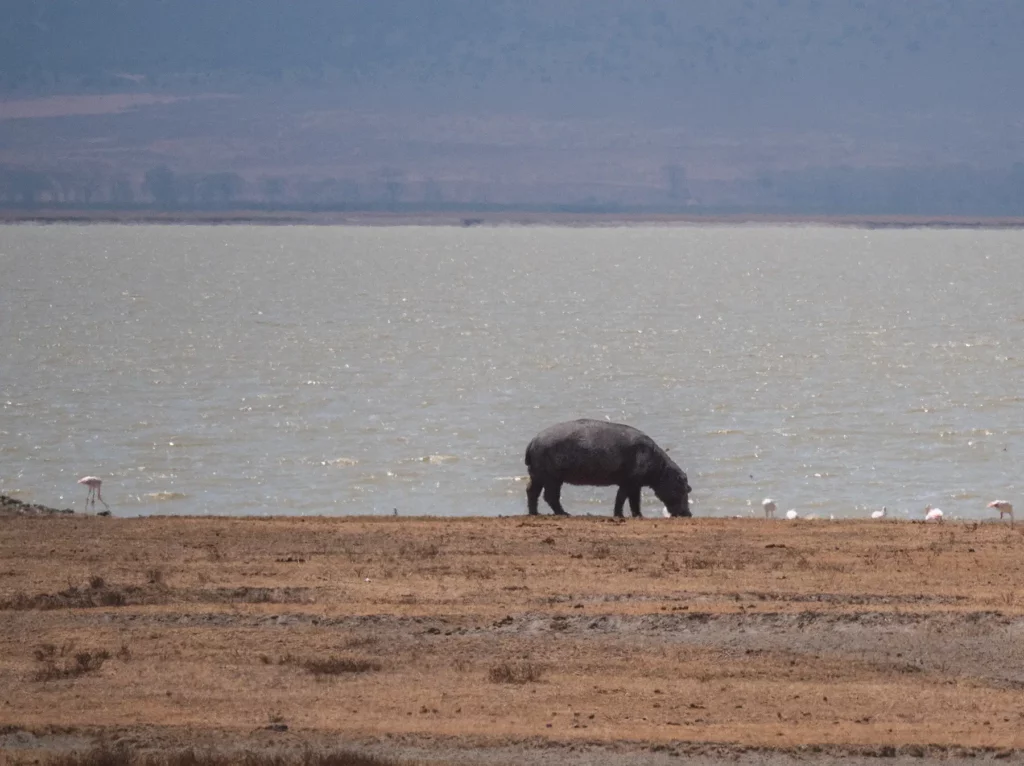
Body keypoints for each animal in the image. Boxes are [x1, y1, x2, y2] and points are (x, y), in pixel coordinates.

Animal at [524, 419, 692, 518]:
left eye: (689, 489)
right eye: (684, 488)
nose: (689, 514)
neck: (661, 470)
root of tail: (533, 440)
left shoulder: (635, 485)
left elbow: (634, 500)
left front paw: (639, 516)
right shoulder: (629, 482)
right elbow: (622, 498)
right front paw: (620, 516)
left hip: (539, 476)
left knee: (532, 491)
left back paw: (535, 514)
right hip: (552, 478)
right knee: (550, 496)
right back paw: (565, 514)